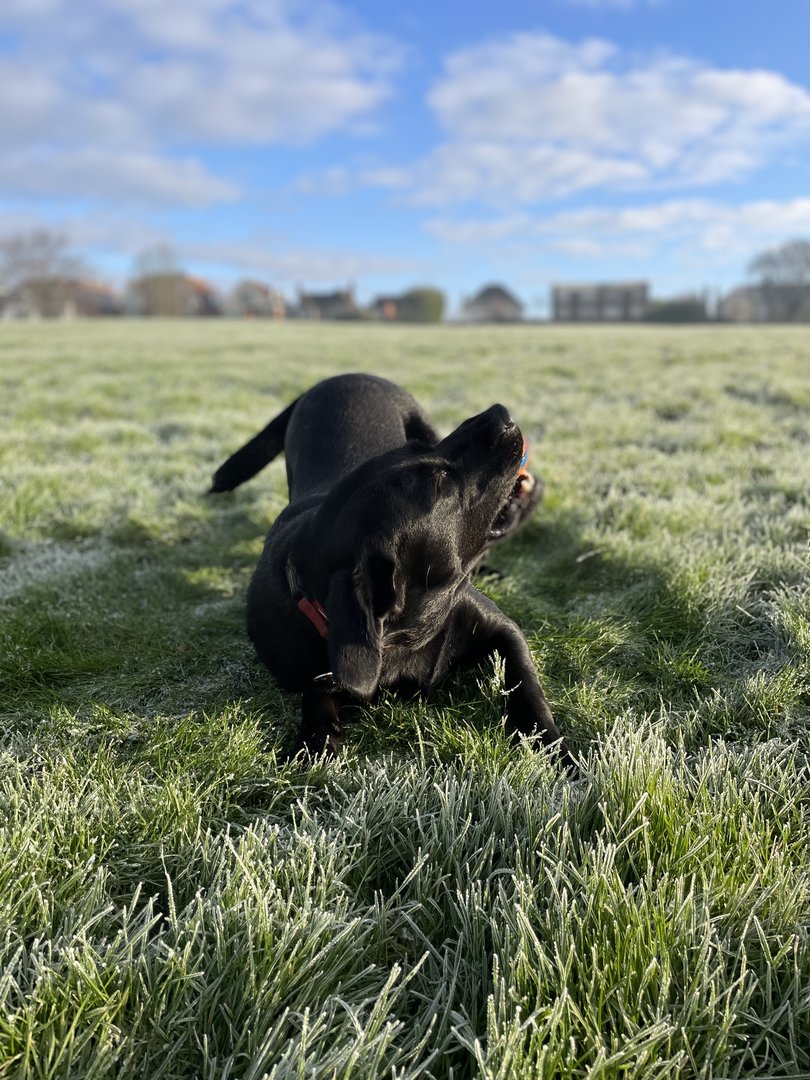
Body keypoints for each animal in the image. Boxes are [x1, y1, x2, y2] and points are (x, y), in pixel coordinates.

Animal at [210, 374, 576, 773]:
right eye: (439, 482)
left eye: (421, 449)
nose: (500, 412)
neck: (401, 638)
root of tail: (337, 377)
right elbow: (316, 699)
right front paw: (315, 743)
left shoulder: (504, 629)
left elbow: (526, 686)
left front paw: (559, 752)